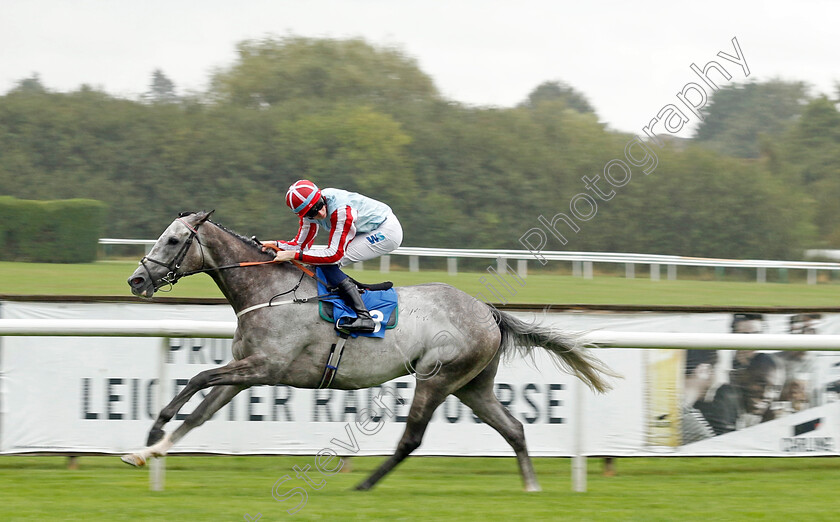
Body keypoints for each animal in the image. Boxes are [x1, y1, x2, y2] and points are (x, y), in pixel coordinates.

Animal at [121, 209, 612, 490]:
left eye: (173, 240)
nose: (137, 279)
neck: (269, 290)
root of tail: (487, 310)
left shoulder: (264, 366)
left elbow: (198, 378)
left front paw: (154, 428)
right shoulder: (247, 370)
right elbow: (200, 412)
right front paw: (146, 451)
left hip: (437, 377)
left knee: (413, 437)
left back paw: (364, 487)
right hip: (473, 386)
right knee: (514, 429)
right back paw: (531, 487)